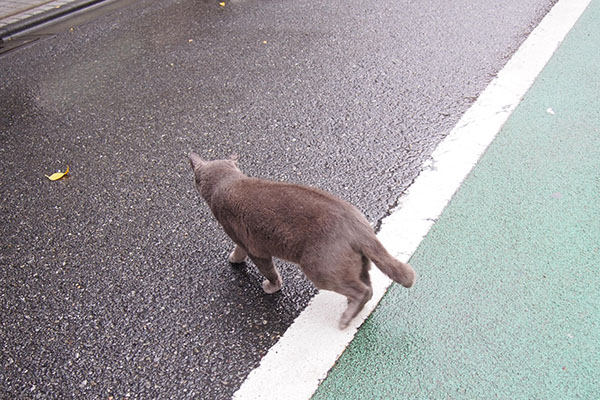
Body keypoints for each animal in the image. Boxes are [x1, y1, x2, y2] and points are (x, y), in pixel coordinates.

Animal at [190, 153, 414, 328]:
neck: (227, 182)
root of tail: (360, 226)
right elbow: (240, 250)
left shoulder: (254, 248)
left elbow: (267, 270)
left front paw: (270, 285)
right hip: (358, 263)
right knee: (367, 284)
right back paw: (350, 307)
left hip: (318, 268)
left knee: (363, 290)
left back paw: (346, 316)